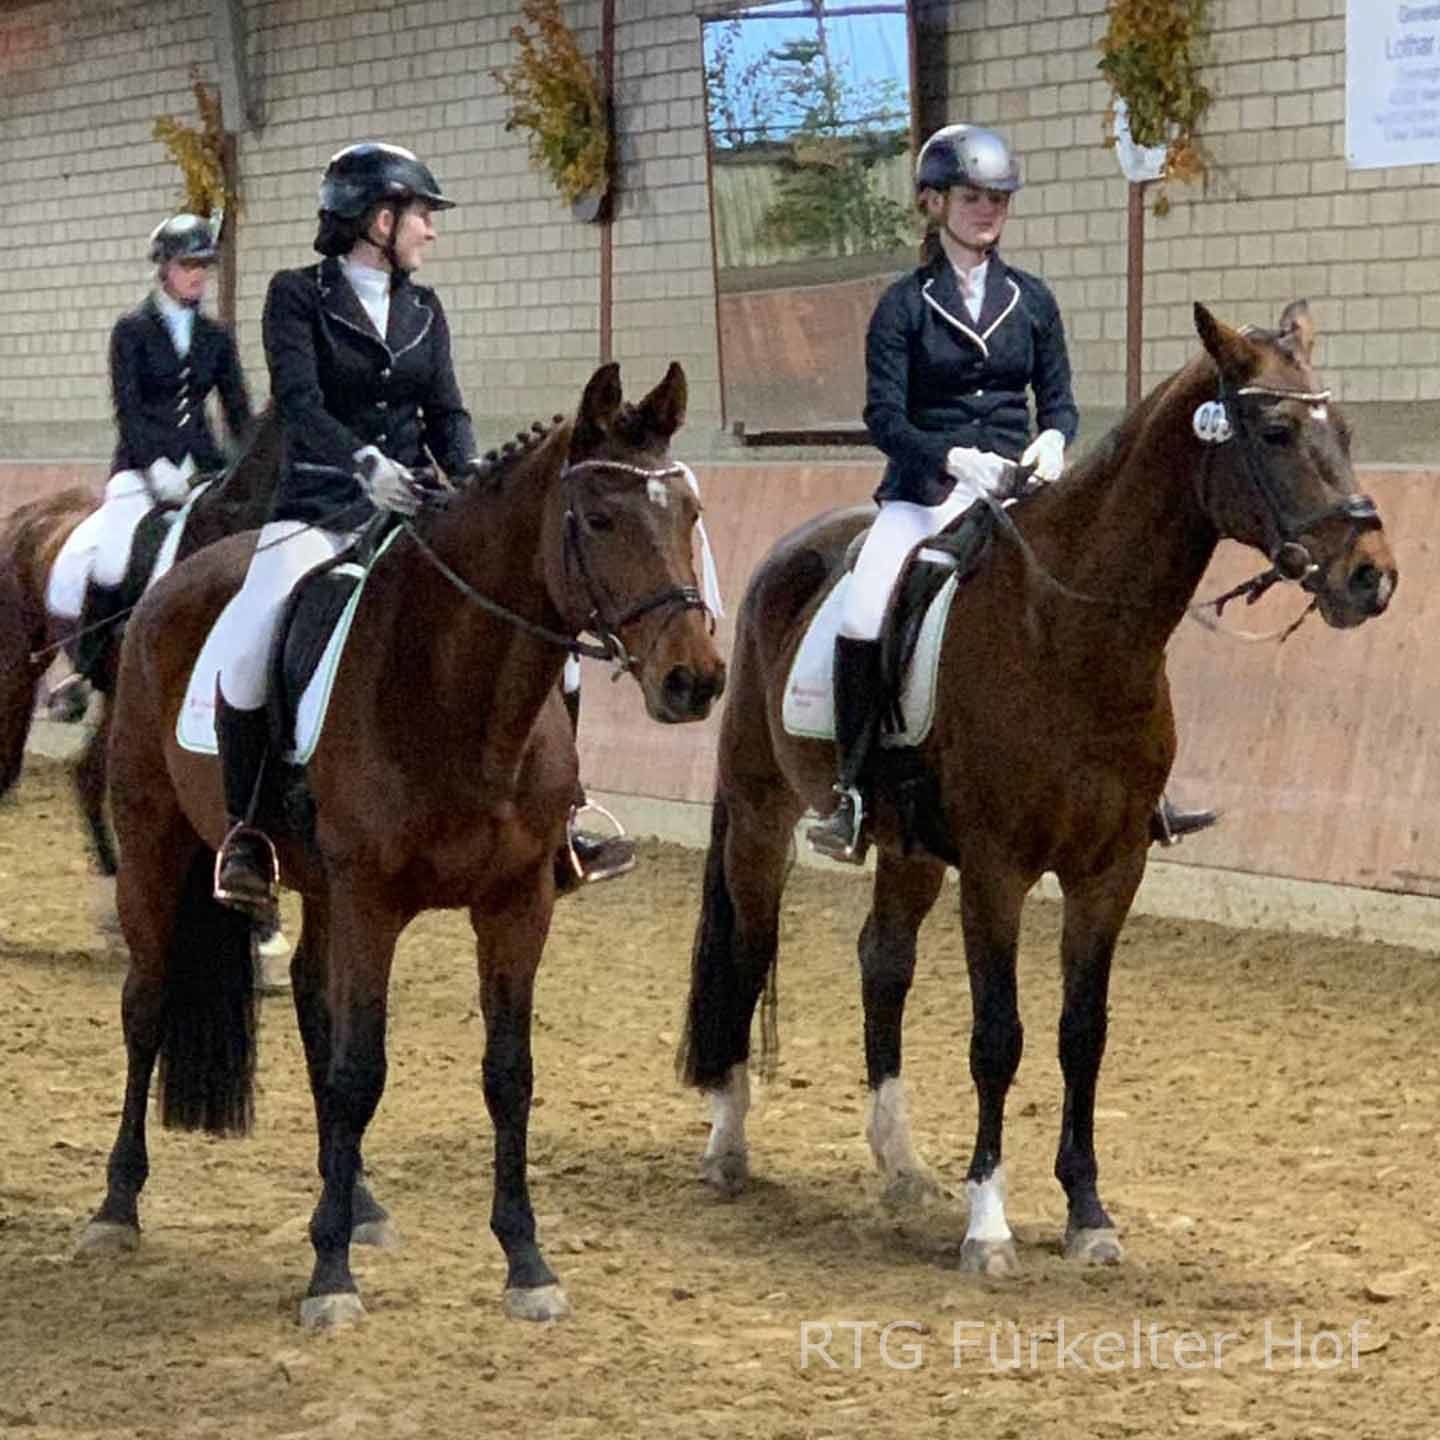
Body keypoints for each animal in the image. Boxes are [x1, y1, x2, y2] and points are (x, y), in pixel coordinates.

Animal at [76, 360, 727, 1328]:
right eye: (600, 520)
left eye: (688, 514)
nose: (696, 681)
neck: (458, 690)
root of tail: (172, 580)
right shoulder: (373, 902)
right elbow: (360, 1072)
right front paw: (329, 1277)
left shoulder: (517, 903)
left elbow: (506, 1074)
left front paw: (525, 1262)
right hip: (158, 843)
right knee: (146, 1006)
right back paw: (118, 1208)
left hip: (313, 884)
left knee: (311, 1003)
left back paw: (359, 1201)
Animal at [677, 300, 1397, 1274]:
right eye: (1277, 431)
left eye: (1347, 432)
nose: (1373, 576)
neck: (1072, 633)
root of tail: (788, 555)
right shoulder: (996, 870)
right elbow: (999, 1037)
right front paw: (989, 1223)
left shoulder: (1111, 869)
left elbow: (1081, 1034)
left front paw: (1089, 1213)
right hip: (760, 813)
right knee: (750, 953)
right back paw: (729, 1146)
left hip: (909, 845)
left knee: (882, 962)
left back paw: (900, 1168)